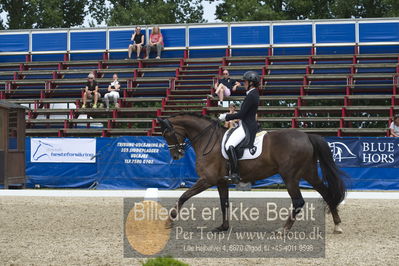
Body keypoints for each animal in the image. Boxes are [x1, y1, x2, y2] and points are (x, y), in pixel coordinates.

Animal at [156, 113, 346, 234]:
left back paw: (283, 230)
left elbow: (184, 196)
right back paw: (337, 225)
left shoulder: (207, 180)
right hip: (309, 173)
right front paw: (223, 227)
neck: (208, 139)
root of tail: (307, 136)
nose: (176, 155)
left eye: (167, 134)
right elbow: (224, 203)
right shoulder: (221, 181)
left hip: (290, 177)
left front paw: (168, 221)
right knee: (327, 193)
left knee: (298, 201)